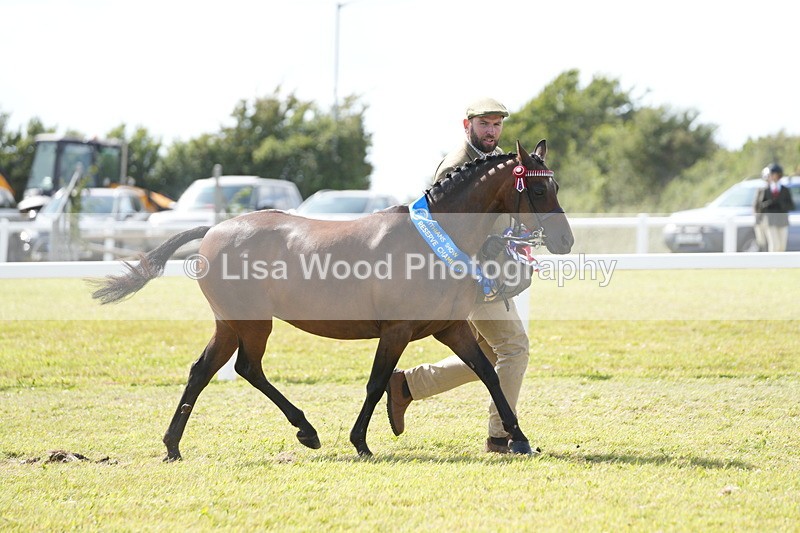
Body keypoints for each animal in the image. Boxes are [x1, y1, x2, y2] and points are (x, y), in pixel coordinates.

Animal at [91, 140, 574, 460]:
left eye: (554, 186)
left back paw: (174, 446)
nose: (566, 241)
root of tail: (213, 229)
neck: (436, 237)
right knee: (246, 368)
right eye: (537, 190)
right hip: (252, 323)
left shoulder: (451, 328)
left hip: (230, 324)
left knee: (204, 371)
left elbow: (489, 375)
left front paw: (519, 438)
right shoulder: (396, 330)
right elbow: (377, 382)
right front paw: (361, 442)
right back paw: (305, 431)